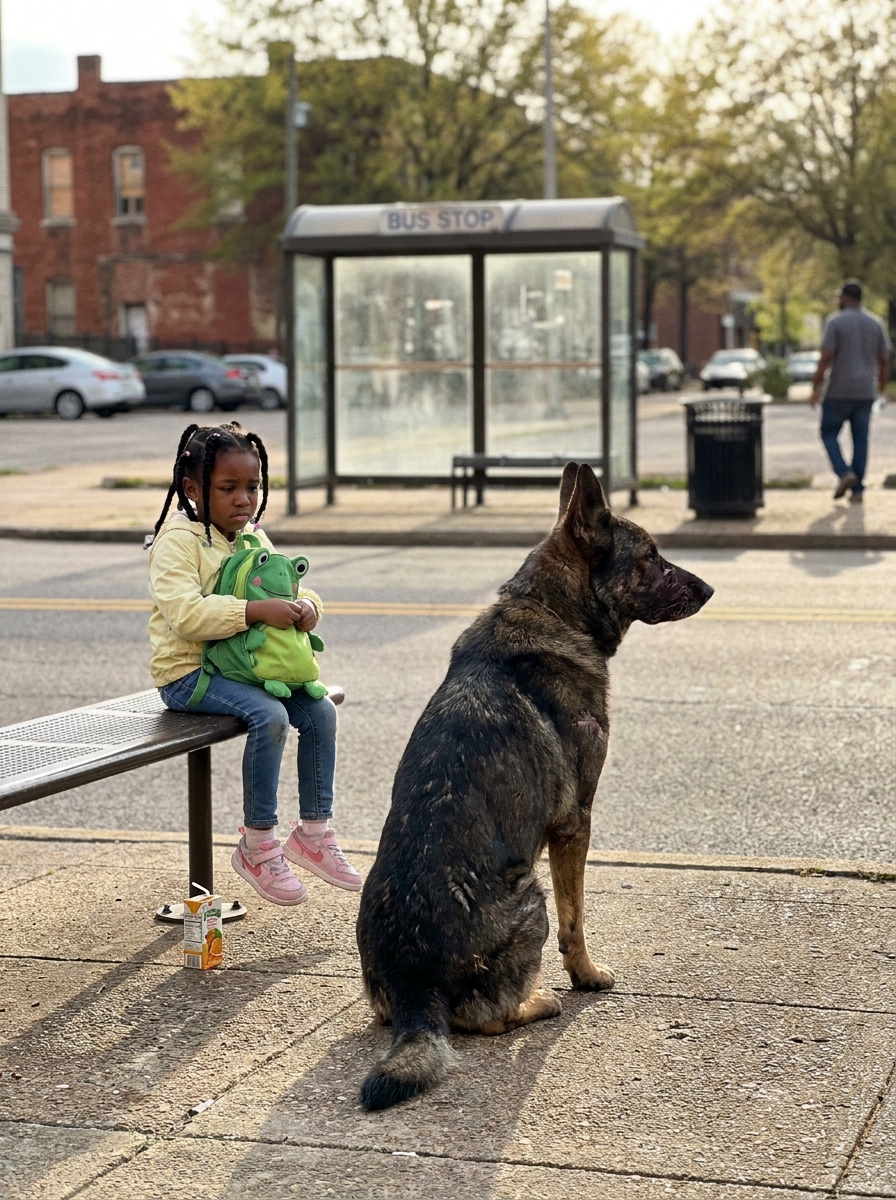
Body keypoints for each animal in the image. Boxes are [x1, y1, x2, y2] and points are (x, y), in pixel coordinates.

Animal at [356, 462, 713, 1110]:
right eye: (651, 556)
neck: (551, 609)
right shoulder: (575, 823)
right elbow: (577, 918)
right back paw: (537, 1000)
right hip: (530, 897)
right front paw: (586, 977)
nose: (710, 590)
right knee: (483, 1016)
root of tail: (416, 986)